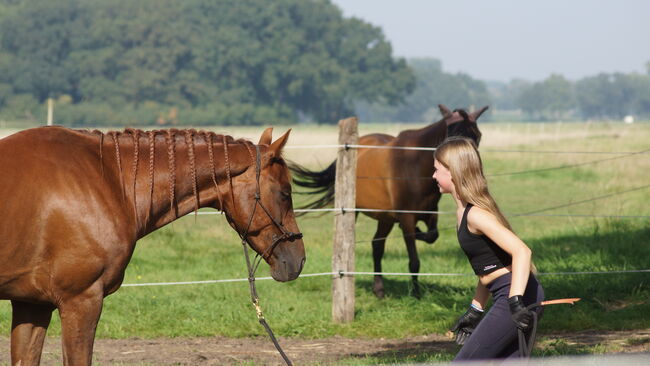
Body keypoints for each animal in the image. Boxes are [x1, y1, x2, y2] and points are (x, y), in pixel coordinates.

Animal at [292, 105, 484, 298]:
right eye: (452, 133)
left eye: (478, 135)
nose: (467, 166)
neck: (415, 165)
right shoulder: (406, 217)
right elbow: (414, 260)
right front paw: (416, 293)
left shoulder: (431, 213)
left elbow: (432, 236)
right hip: (355, 212)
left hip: (384, 218)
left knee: (377, 246)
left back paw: (378, 288)